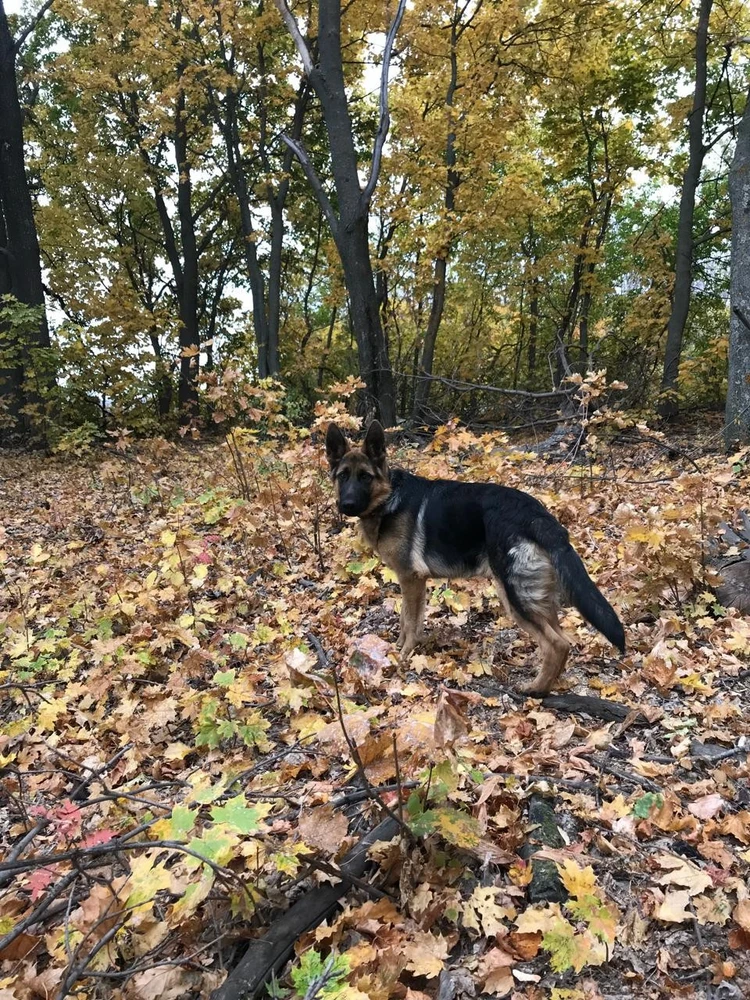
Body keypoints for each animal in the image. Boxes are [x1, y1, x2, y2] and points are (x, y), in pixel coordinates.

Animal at [326, 418, 624, 692]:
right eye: (343, 476)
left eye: (365, 476)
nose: (347, 505)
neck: (388, 498)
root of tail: (538, 516)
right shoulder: (412, 582)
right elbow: (408, 619)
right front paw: (399, 646)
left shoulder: (411, 579)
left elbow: (410, 621)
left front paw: (404, 655)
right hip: (536, 597)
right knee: (561, 639)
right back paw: (550, 683)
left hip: (514, 595)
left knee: (558, 644)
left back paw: (535, 690)